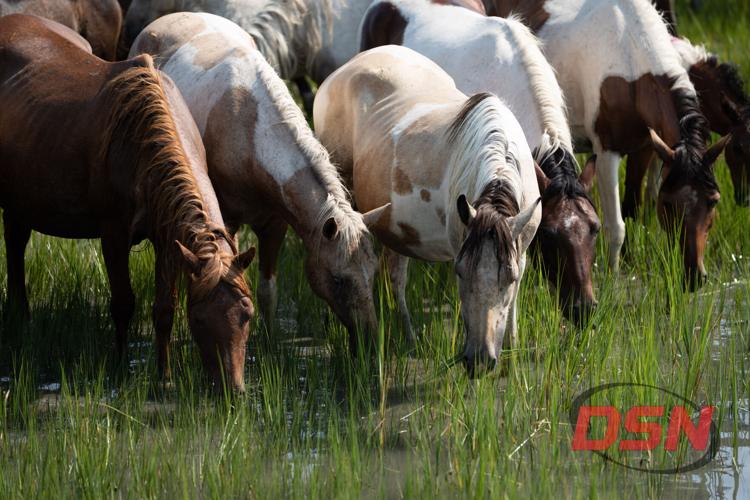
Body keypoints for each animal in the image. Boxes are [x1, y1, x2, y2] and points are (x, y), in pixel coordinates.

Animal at [0, 14, 256, 391]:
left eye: (247, 314)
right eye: (198, 319)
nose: (232, 389)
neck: (144, 145)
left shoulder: (169, 238)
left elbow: (164, 310)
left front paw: (164, 377)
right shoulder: (114, 236)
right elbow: (123, 302)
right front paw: (121, 366)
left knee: (16, 244)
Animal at [129, 12, 388, 347]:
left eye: (373, 273)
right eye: (338, 279)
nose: (370, 341)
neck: (252, 134)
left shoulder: (275, 224)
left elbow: (267, 291)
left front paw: (271, 342)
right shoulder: (226, 220)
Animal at [314, 45, 541, 374]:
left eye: (508, 278)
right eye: (460, 272)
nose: (479, 360)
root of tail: (341, 71)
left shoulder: (519, 247)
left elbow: (511, 307)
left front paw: (511, 346)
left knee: (394, 275)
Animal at [478, 0, 729, 289]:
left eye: (713, 201)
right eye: (667, 203)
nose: (695, 275)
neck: (630, 58)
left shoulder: (644, 148)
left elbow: (632, 209)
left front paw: (630, 262)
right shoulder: (607, 153)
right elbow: (616, 225)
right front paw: (613, 276)